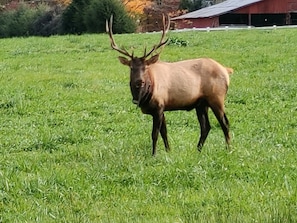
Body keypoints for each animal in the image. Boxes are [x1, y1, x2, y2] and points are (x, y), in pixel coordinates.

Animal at [105, 14, 232, 156]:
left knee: (225, 123)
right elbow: (164, 132)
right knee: (206, 127)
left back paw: (228, 149)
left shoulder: (159, 106)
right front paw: (168, 151)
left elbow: (155, 134)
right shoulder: (161, 108)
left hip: (217, 97)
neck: (145, 96)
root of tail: (226, 70)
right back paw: (198, 150)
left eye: (145, 67)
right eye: (131, 68)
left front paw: (154, 154)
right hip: (201, 103)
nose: (139, 81)